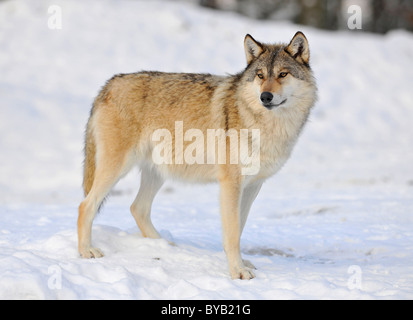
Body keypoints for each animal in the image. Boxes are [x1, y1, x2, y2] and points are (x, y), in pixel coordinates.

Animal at [77, 31, 316, 278]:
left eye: (282, 74)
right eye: (260, 75)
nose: (265, 96)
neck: (266, 125)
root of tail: (109, 83)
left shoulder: (252, 186)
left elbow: (239, 229)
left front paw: (241, 264)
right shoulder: (231, 183)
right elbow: (232, 234)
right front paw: (237, 271)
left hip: (156, 173)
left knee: (137, 208)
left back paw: (165, 247)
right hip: (117, 168)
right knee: (86, 205)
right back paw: (87, 251)